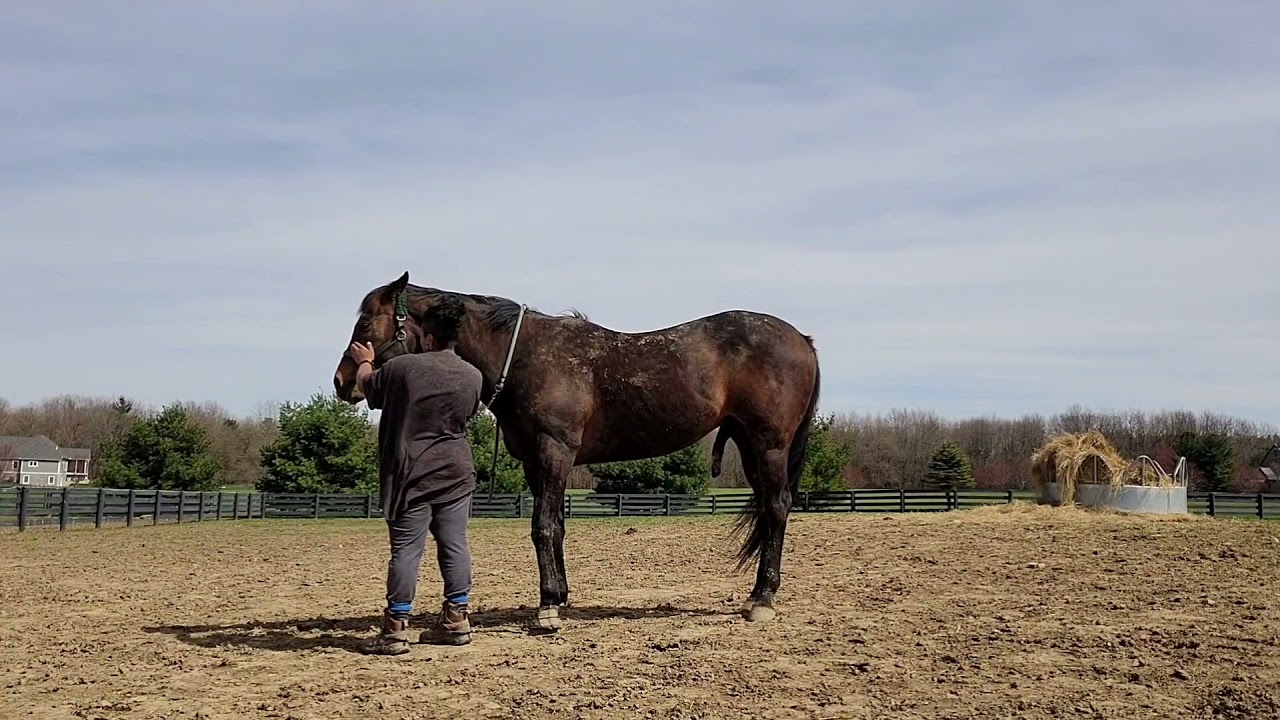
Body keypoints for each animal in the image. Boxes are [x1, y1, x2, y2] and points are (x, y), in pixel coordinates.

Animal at [333, 272, 821, 631]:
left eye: (365, 324)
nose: (343, 382)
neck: (526, 355)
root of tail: (801, 338)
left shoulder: (554, 452)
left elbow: (543, 526)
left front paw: (548, 607)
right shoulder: (536, 462)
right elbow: (558, 527)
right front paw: (561, 595)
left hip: (770, 445)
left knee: (777, 509)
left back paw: (762, 598)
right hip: (748, 444)